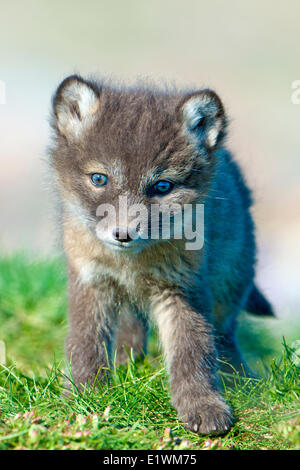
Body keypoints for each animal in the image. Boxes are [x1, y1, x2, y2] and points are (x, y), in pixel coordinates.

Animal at [47, 74, 274, 436]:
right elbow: (85, 341)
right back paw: (127, 362)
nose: (123, 234)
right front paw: (84, 395)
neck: (131, 263)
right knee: (131, 324)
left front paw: (203, 404)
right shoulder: (90, 279)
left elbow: (193, 348)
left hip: (231, 281)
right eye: (99, 178)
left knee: (224, 334)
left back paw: (238, 377)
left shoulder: (183, 286)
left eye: (163, 187)